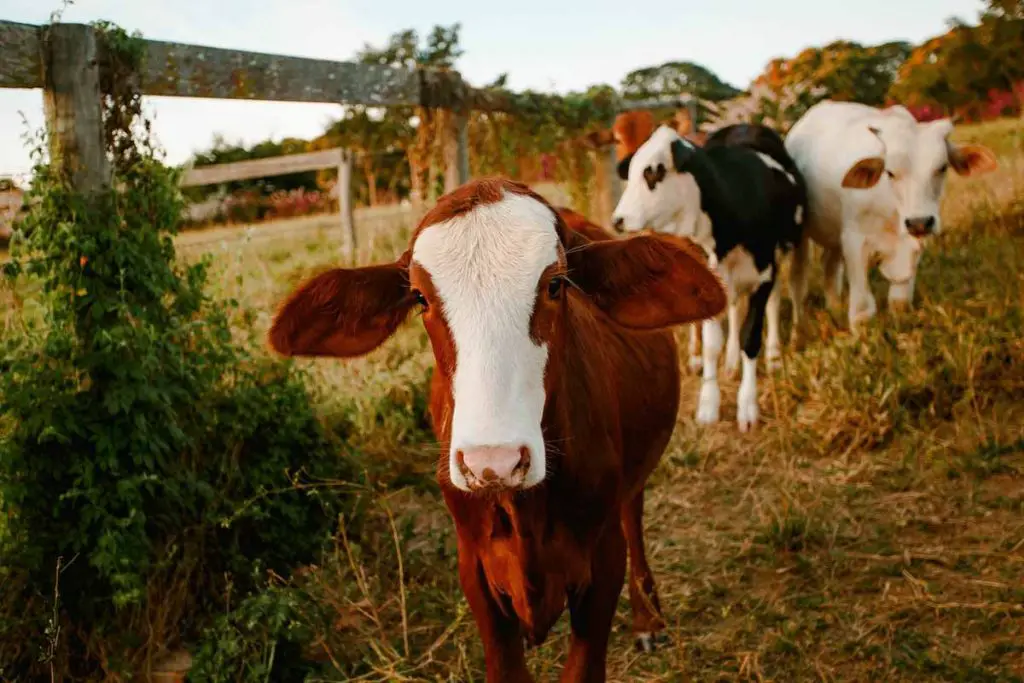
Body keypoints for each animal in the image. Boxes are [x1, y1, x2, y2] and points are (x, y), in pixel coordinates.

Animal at [268, 179, 724, 679]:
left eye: (555, 284)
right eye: (421, 297)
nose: (494, 462)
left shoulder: (602, 564)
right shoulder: (477, 572)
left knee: (633, 514)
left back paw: (648, 617)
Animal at [606, 123, 806, 432]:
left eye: (653, 172)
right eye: (632, 171)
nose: (618, 220)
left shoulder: (764, 275)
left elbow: (751, 338)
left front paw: (748, 406)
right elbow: (713, 345)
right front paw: (709, 404)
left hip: (783, 253)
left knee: (772, 304)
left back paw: (772, 355)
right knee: (733, 309)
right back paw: (732, 362)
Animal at [778, 100, 995, 333]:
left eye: (942, 167)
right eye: (890, 172)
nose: (919, 223)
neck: (892, 211)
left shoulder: (912, 245)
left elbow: (899, 301)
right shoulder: (854, 242)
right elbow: (862, 310)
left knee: (830, 269)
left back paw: (834, 310)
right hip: (802, 237)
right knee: (798, 281)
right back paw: (799, 329)